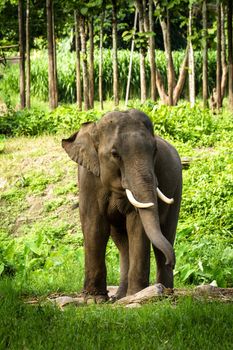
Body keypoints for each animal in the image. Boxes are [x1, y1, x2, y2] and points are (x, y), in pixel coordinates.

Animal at [62, 109, 182, 300]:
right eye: (115, 154)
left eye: (154, 151)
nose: (172, 262)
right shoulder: (88, 178)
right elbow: (94, 226)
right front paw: (95, 299)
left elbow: (137, 226)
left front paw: (136, 294)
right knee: (122, 243)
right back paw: (120, 296)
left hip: (177, 187)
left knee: (166, 233)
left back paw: (163, 292)